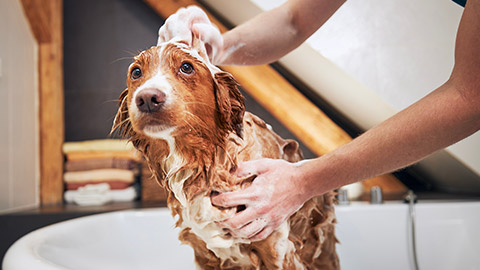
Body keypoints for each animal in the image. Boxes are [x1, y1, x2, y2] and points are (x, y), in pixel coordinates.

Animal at [111, 34, 338, 270]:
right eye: (136, 72)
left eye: (186, 67)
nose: (147, 98)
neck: (203, 163)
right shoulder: (204, 255)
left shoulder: (277, 250)